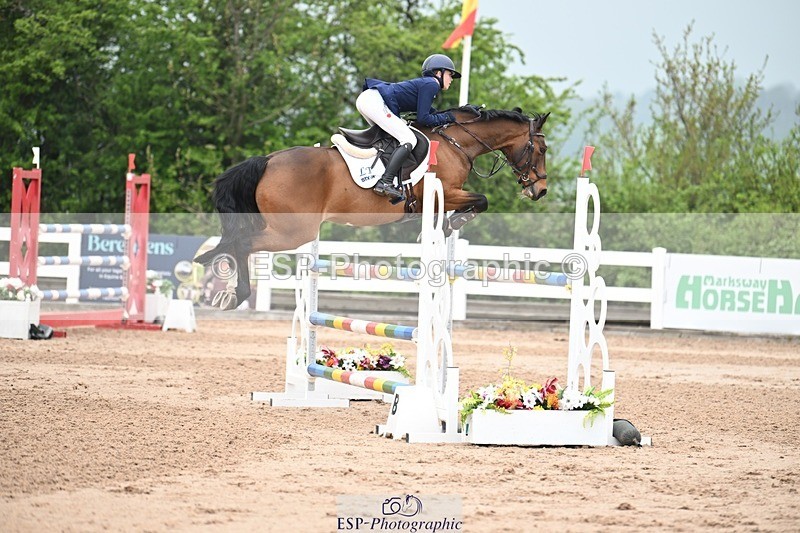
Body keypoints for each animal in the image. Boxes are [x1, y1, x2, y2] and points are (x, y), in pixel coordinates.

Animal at [195, 106, 549, 309]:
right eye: (543, 149)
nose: (540, 190)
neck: (456, 143)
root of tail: (268, 160)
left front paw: (445, 227)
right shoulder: (445, 192)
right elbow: (481, 201)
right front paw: (451, 225)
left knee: (235, 243)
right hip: (293, 231)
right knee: (242, 244)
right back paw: (235, 295)